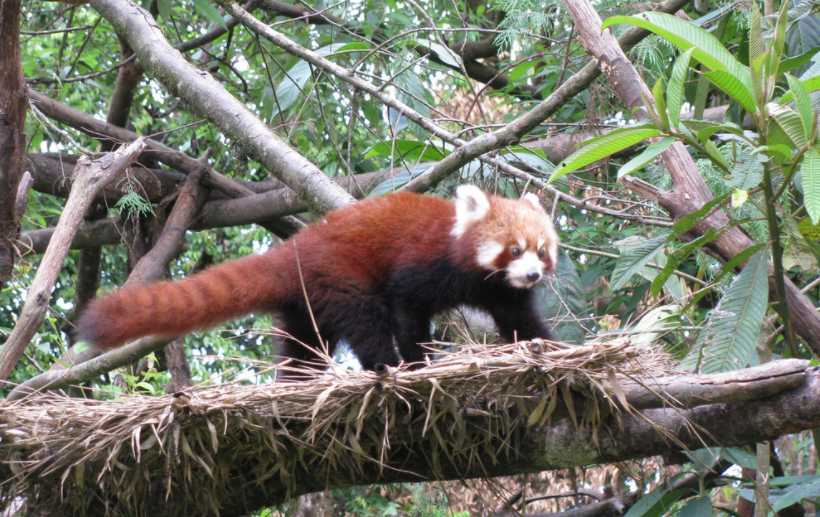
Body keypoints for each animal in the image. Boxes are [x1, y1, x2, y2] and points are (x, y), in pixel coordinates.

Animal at [77, 185, 560, 370]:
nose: (534, 274)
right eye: (514, 249)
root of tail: (295, 248)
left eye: (542, 250)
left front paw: (548, 346)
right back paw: (385, 364)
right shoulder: (423, 265)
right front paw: (416, 360)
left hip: (307, 302)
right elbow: (406, 310)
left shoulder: (502, 291)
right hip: (340, 277)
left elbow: (522, 321)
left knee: (302, 344)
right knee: (365, 321)